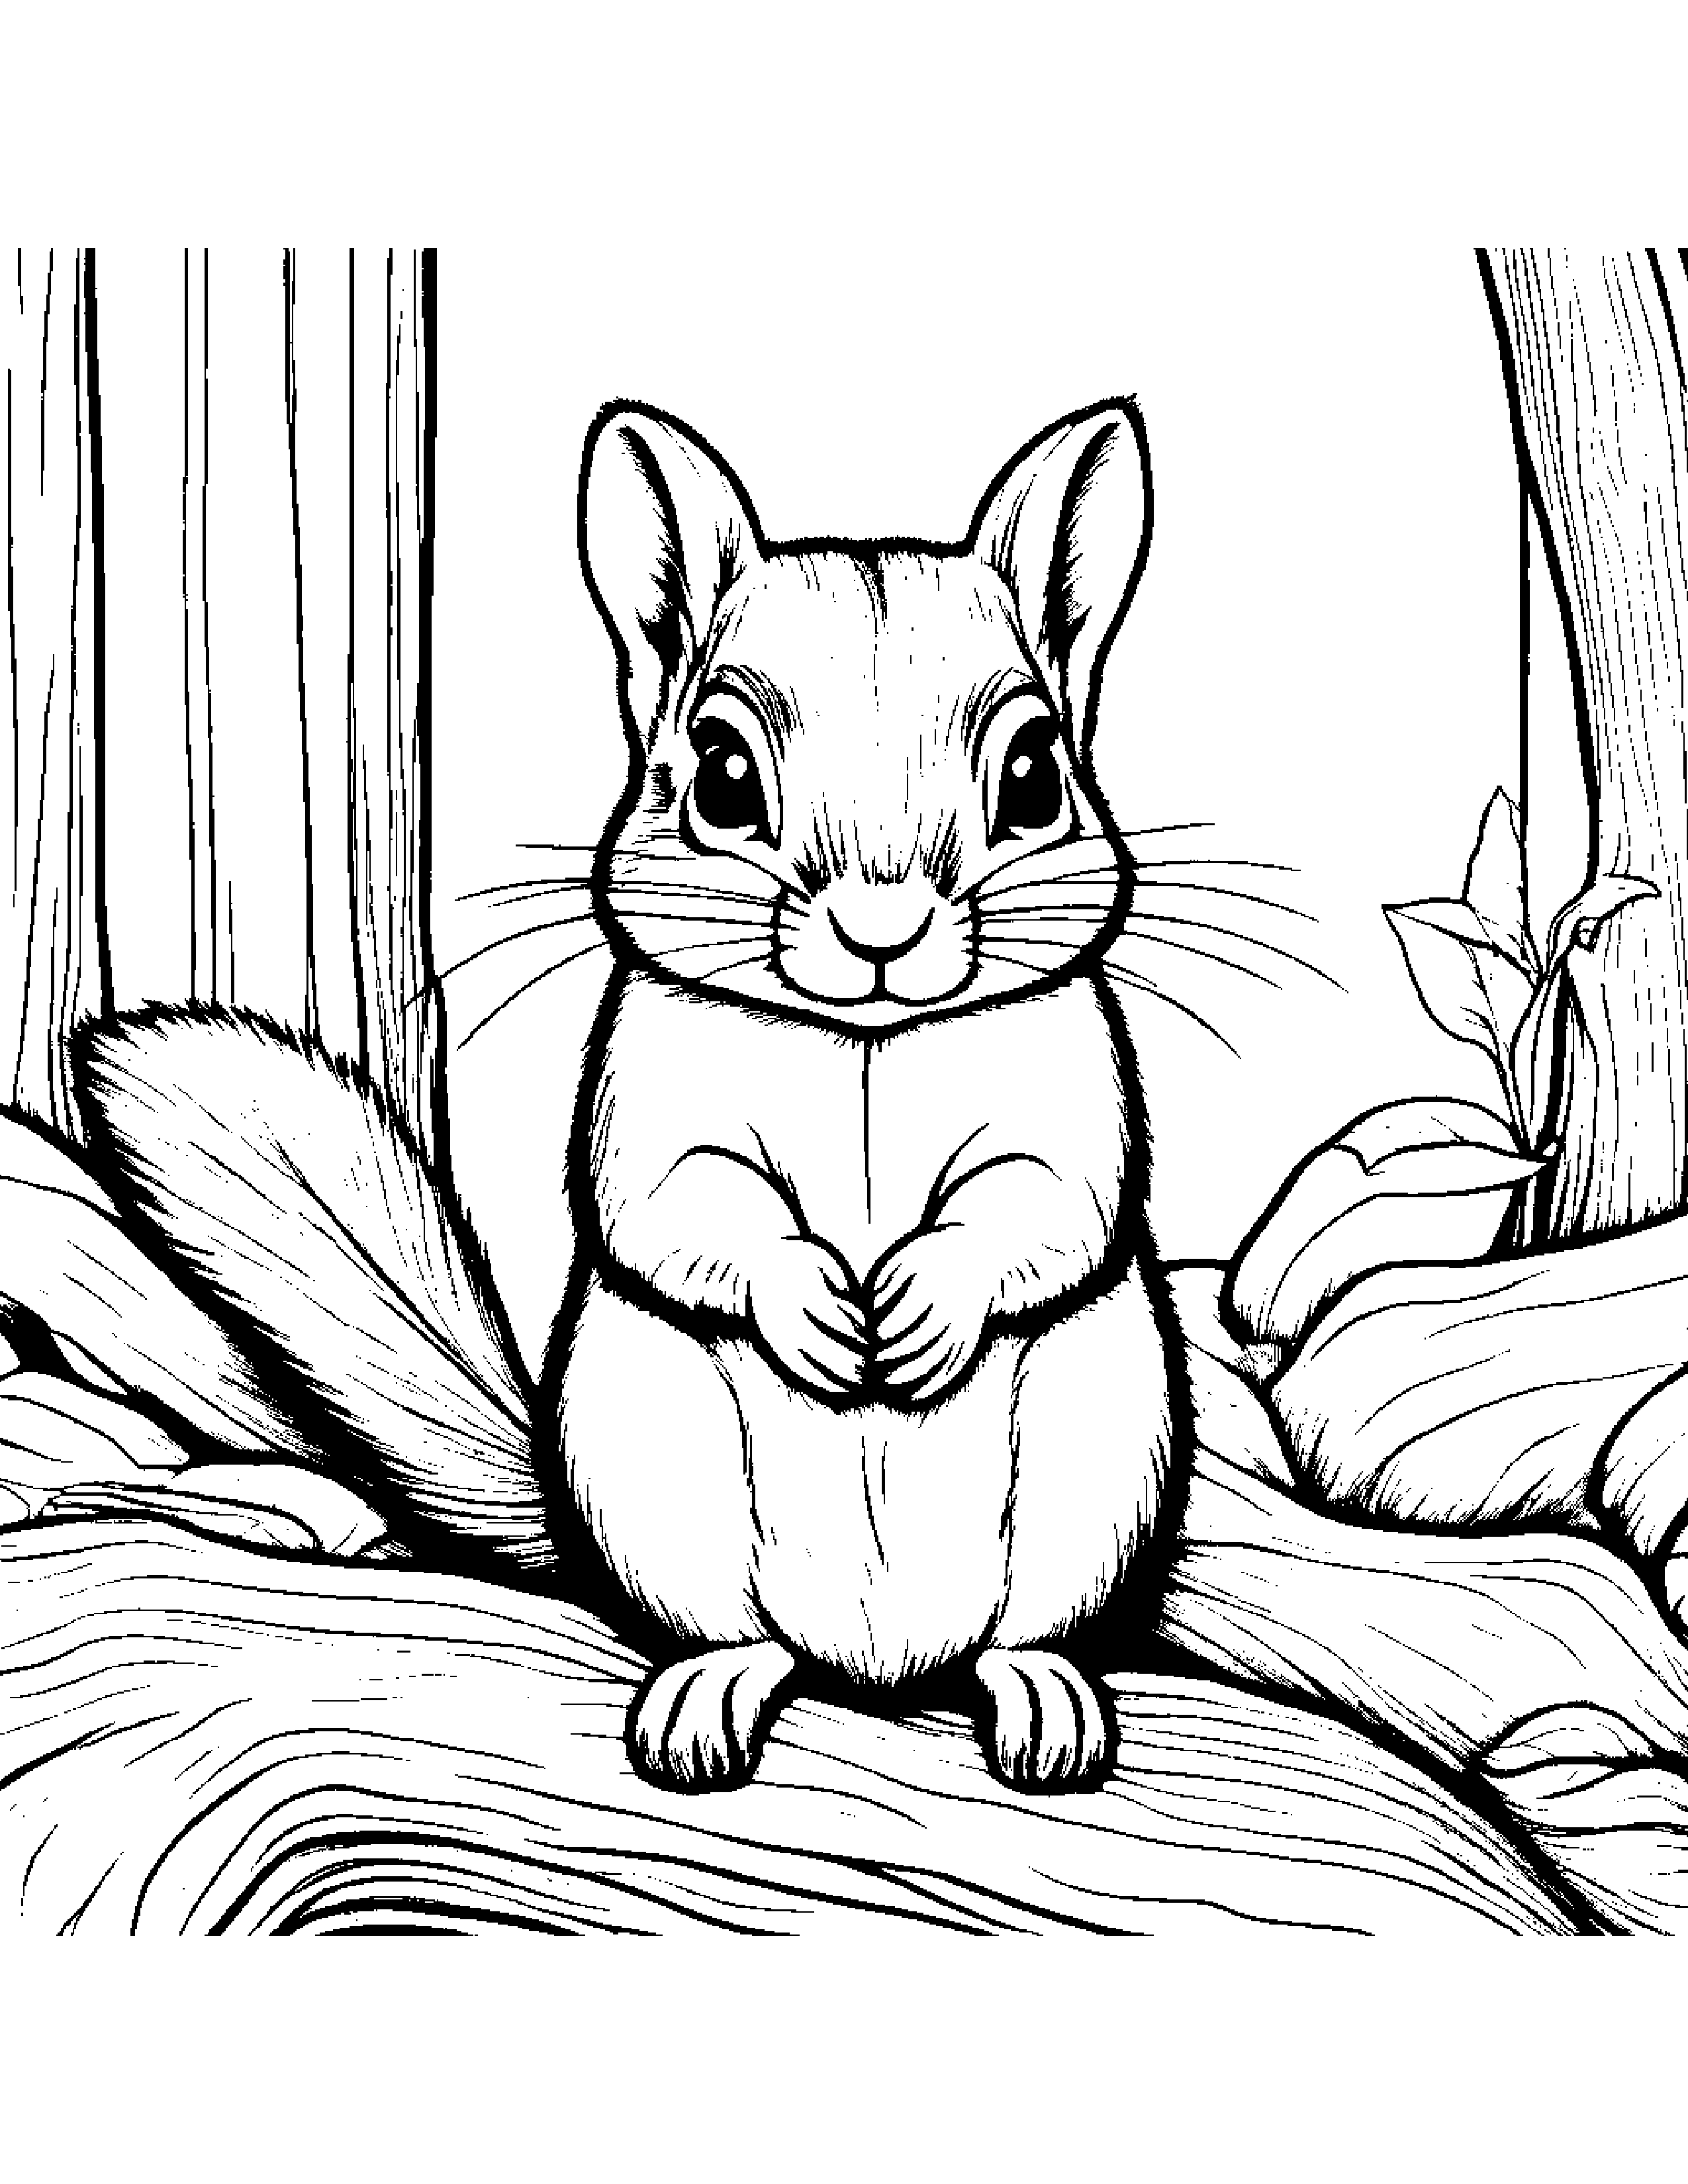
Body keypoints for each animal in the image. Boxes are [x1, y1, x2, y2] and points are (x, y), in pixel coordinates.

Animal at [71, 398, 1191, 1799]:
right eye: (719, 775)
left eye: (1037, 776)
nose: (880, 935)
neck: (864, 1040)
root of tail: (879, 1666)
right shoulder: (646, 1104)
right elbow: (676, 1209)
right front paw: (817, 1302)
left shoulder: (1076, 1093)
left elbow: (1050, 1206)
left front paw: (922, 1303)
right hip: (659, 1484)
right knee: (734, 1633)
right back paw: (709, 1696)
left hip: (1094, 1490)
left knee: (1018, 1633)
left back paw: (1041, 1696)